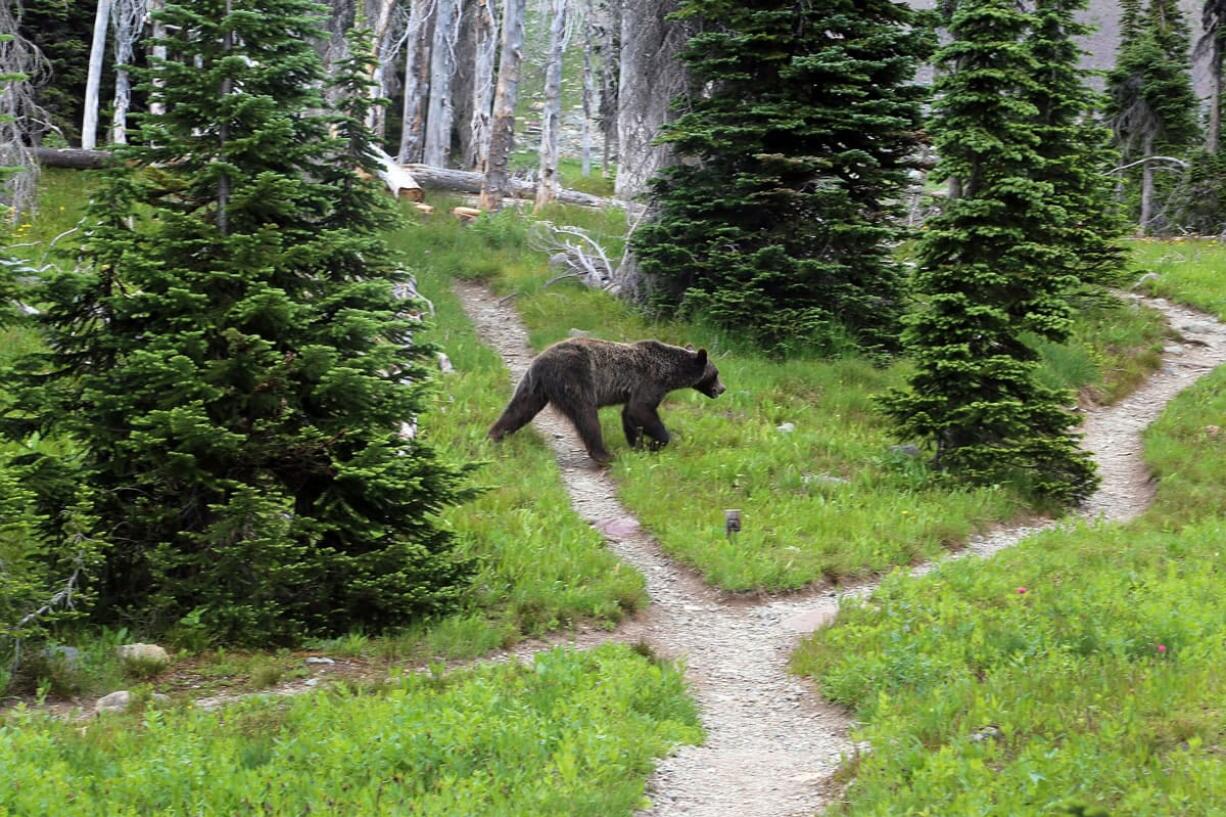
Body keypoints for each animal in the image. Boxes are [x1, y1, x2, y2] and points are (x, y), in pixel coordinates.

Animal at [485, 336, 720, 463]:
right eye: (716, 373)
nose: (723, 388)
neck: (672, 373)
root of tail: (540, 362)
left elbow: (629, 415)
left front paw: (638, 446)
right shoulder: (650, 381)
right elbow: (641, 410)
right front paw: (658, 441)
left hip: (533, 387)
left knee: (518, 410)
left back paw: (493, 436)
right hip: (576, 378)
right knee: (587, 416)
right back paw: (603, 454)